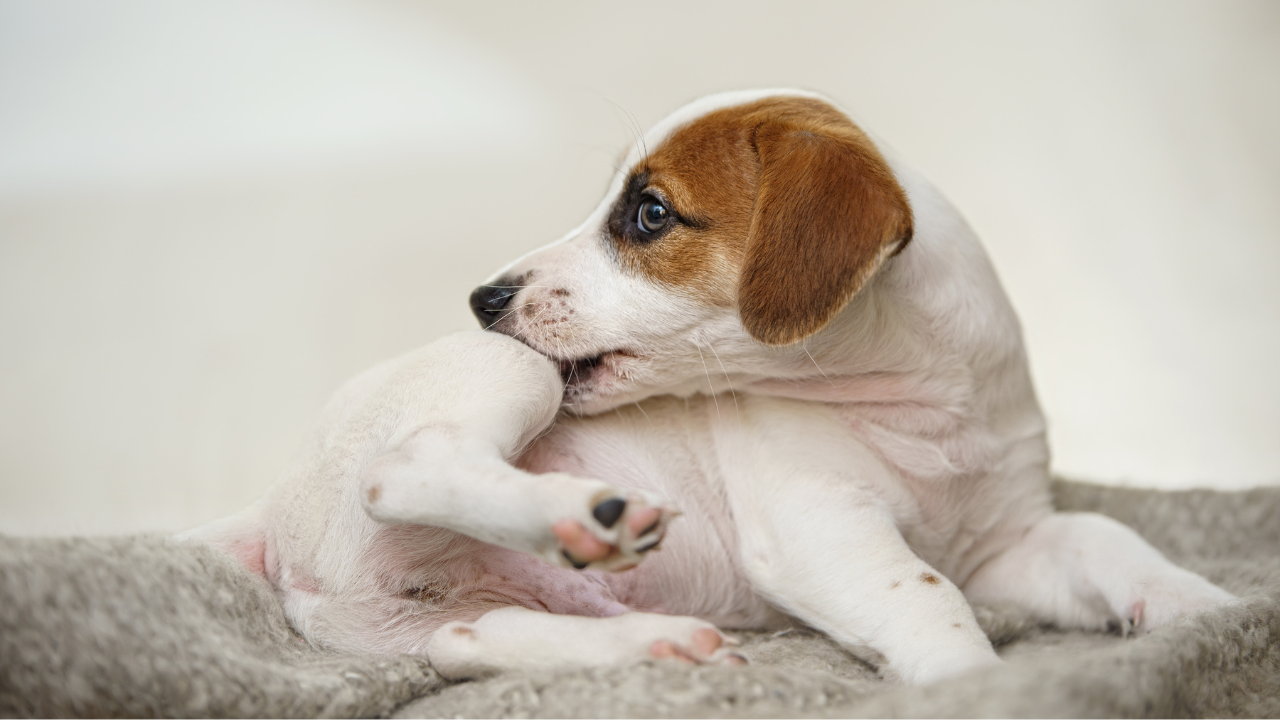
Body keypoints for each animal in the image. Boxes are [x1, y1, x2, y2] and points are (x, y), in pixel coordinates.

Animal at [185, 87, 1233, 681]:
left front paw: (1205, 610)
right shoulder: (820, 529)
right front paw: (977, 686)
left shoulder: (1007, 545)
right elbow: (927, 595)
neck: (923, 408)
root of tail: (271, 511)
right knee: (406, 467)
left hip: (435, 617)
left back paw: (651, 645)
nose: (483, 297)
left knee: (468, 646)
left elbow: (1106, 538)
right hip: (506, 376)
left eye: (650, 214)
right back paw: (584, 516)